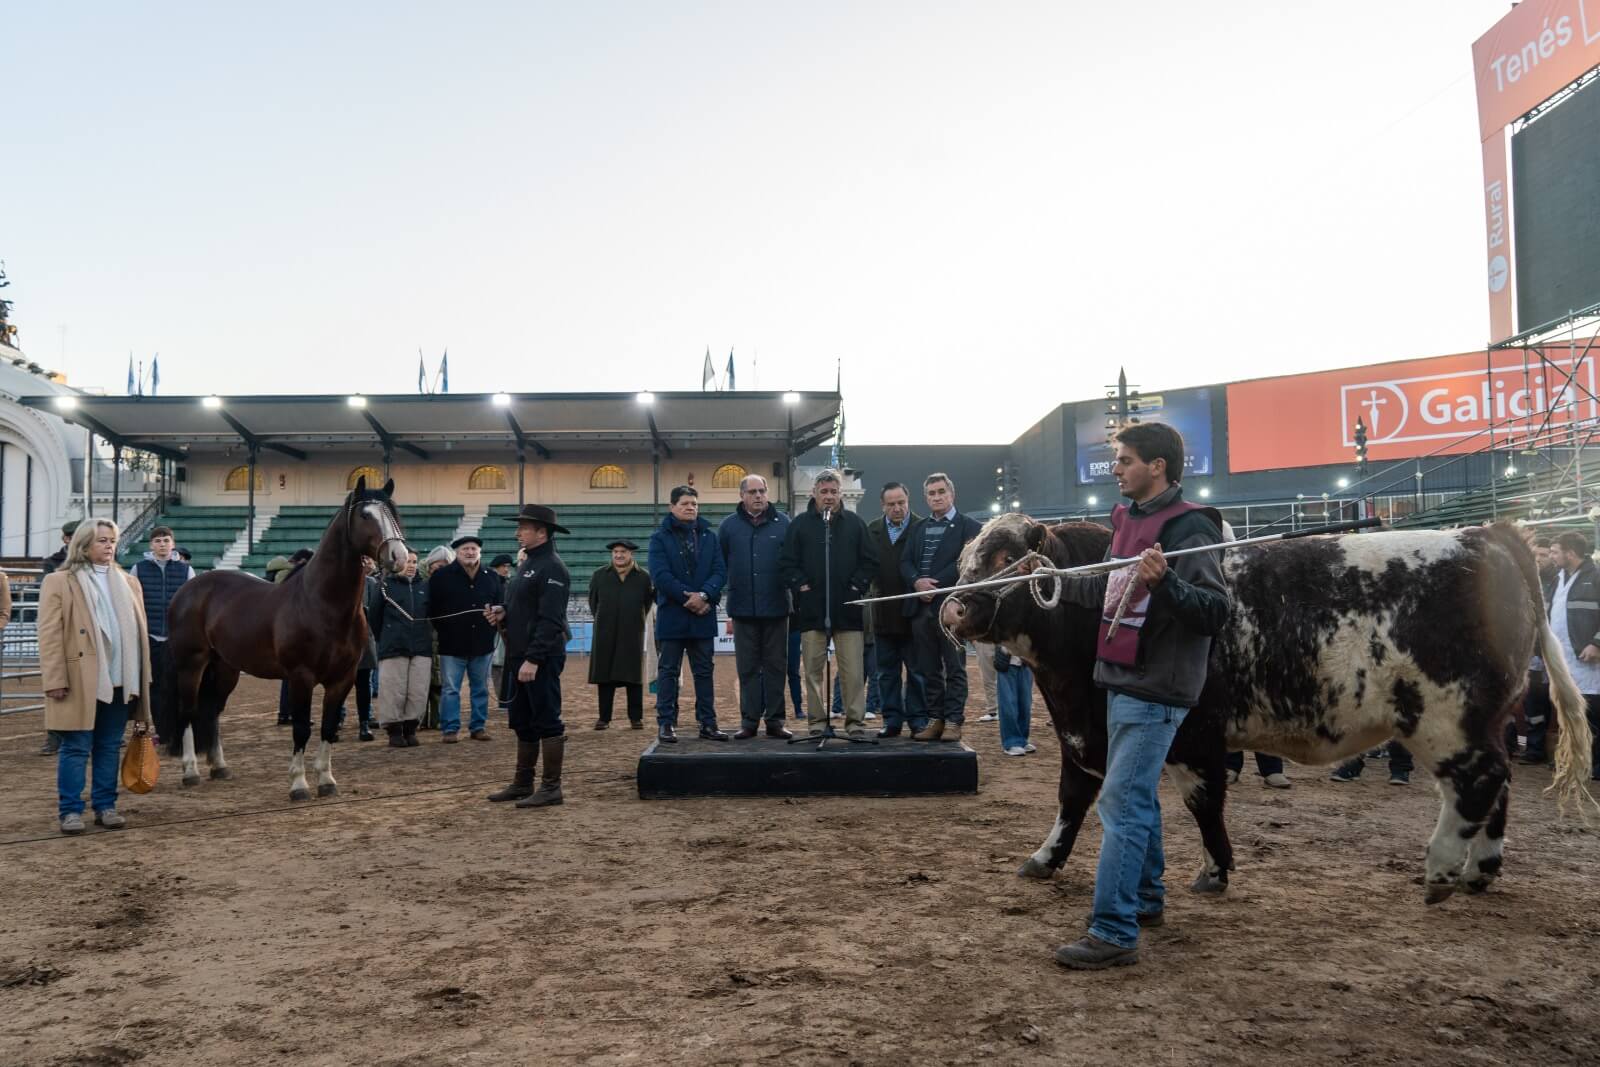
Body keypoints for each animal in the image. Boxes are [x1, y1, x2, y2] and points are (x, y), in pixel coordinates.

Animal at [163, 476, 409, 799]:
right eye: (366, 515)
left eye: (394, 513)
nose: (399, 557)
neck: (321, 603)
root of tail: (190, 588)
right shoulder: (300, 677)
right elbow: (302, 727)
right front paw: (299, 784)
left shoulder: (342, 678)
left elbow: (328, 726)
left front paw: (327, 781)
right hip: (192, 664)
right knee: (189, 711)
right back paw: (190, 771)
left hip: (226, 667)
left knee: (213, 710)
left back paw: (219, 767)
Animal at [940, 515, 1593, 902]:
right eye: (964, 559)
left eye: (1003, 558)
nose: (952, 607)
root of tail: (1485, 534)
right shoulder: (1084, 733)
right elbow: (1075, 799)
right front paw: (1045, 858)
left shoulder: (1193, 735)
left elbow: (1202, 803)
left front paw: (1214, 870)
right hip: (1485, 717)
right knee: (1496, 783)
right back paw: (1480, 869)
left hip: (1444, 716)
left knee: (1478, 780)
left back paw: (1440, 869)